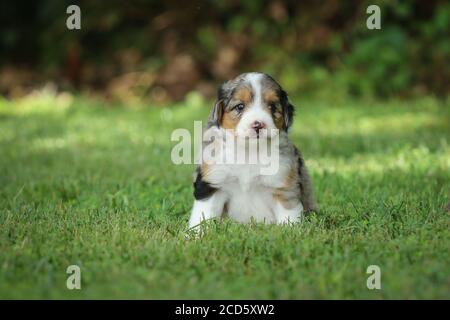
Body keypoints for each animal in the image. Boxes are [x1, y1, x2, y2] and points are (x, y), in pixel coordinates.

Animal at [188, 72, 318, 230]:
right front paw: (195, 234)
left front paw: (290, 232)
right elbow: (202, 216)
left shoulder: (284, 186)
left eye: (272, 106)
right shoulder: (212, 183)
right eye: (240, 106)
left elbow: (289, 216)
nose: (258, 125)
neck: (249, 151)